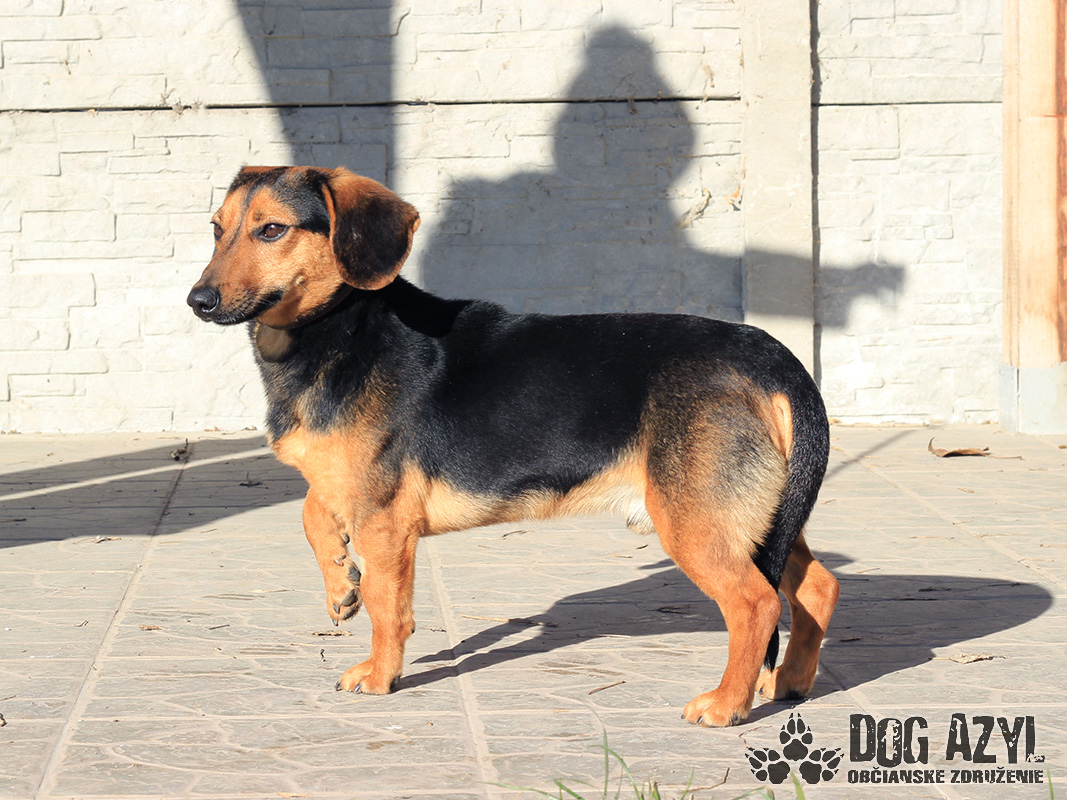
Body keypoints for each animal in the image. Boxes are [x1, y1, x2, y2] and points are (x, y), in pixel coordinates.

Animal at [187, 165, 839, 727]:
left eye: (272, 229)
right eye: (217, 229)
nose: (198, 301)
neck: (336, 328)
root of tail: (773, 358)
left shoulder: (384, 517)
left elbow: (385, 603)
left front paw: (379, 672)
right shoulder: (352, 487)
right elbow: (310, 511)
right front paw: (338, 585)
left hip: (696, 522)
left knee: (756, 605)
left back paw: (727, 704)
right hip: (760, 517)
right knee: (817, 587)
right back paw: (788, 683)